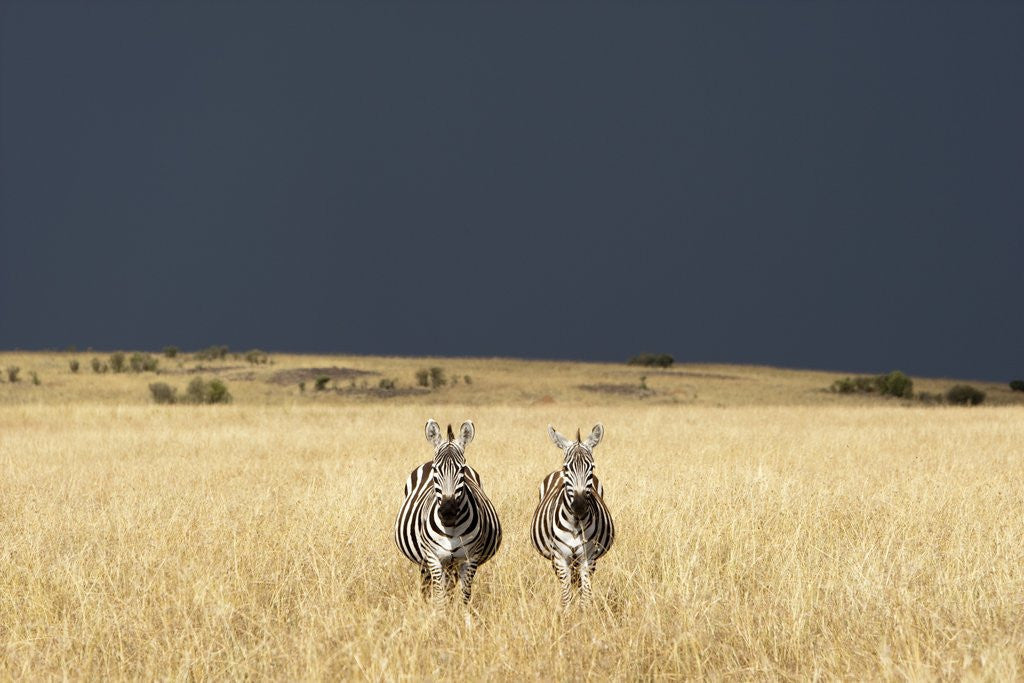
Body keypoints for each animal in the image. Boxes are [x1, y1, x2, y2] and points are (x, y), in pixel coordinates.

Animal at [394, 419, 502, 603]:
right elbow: (439, 597)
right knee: (427, 586)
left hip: (452, 564)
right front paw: (439, 612)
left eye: (462, 470)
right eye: (435, 470)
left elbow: (465, 596)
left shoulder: (470, 559)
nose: (448, 512)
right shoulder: (434, 558)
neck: (451, 529)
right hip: (427, 562)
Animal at [531, 423, 615, 608]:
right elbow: (566, 596)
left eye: (592, 467)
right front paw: (568, 613)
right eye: (566, 468)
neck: (576, 523)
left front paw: (583, 614)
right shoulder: (560, 558)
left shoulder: (588, 558)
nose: (579, 506)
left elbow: (585, 596)